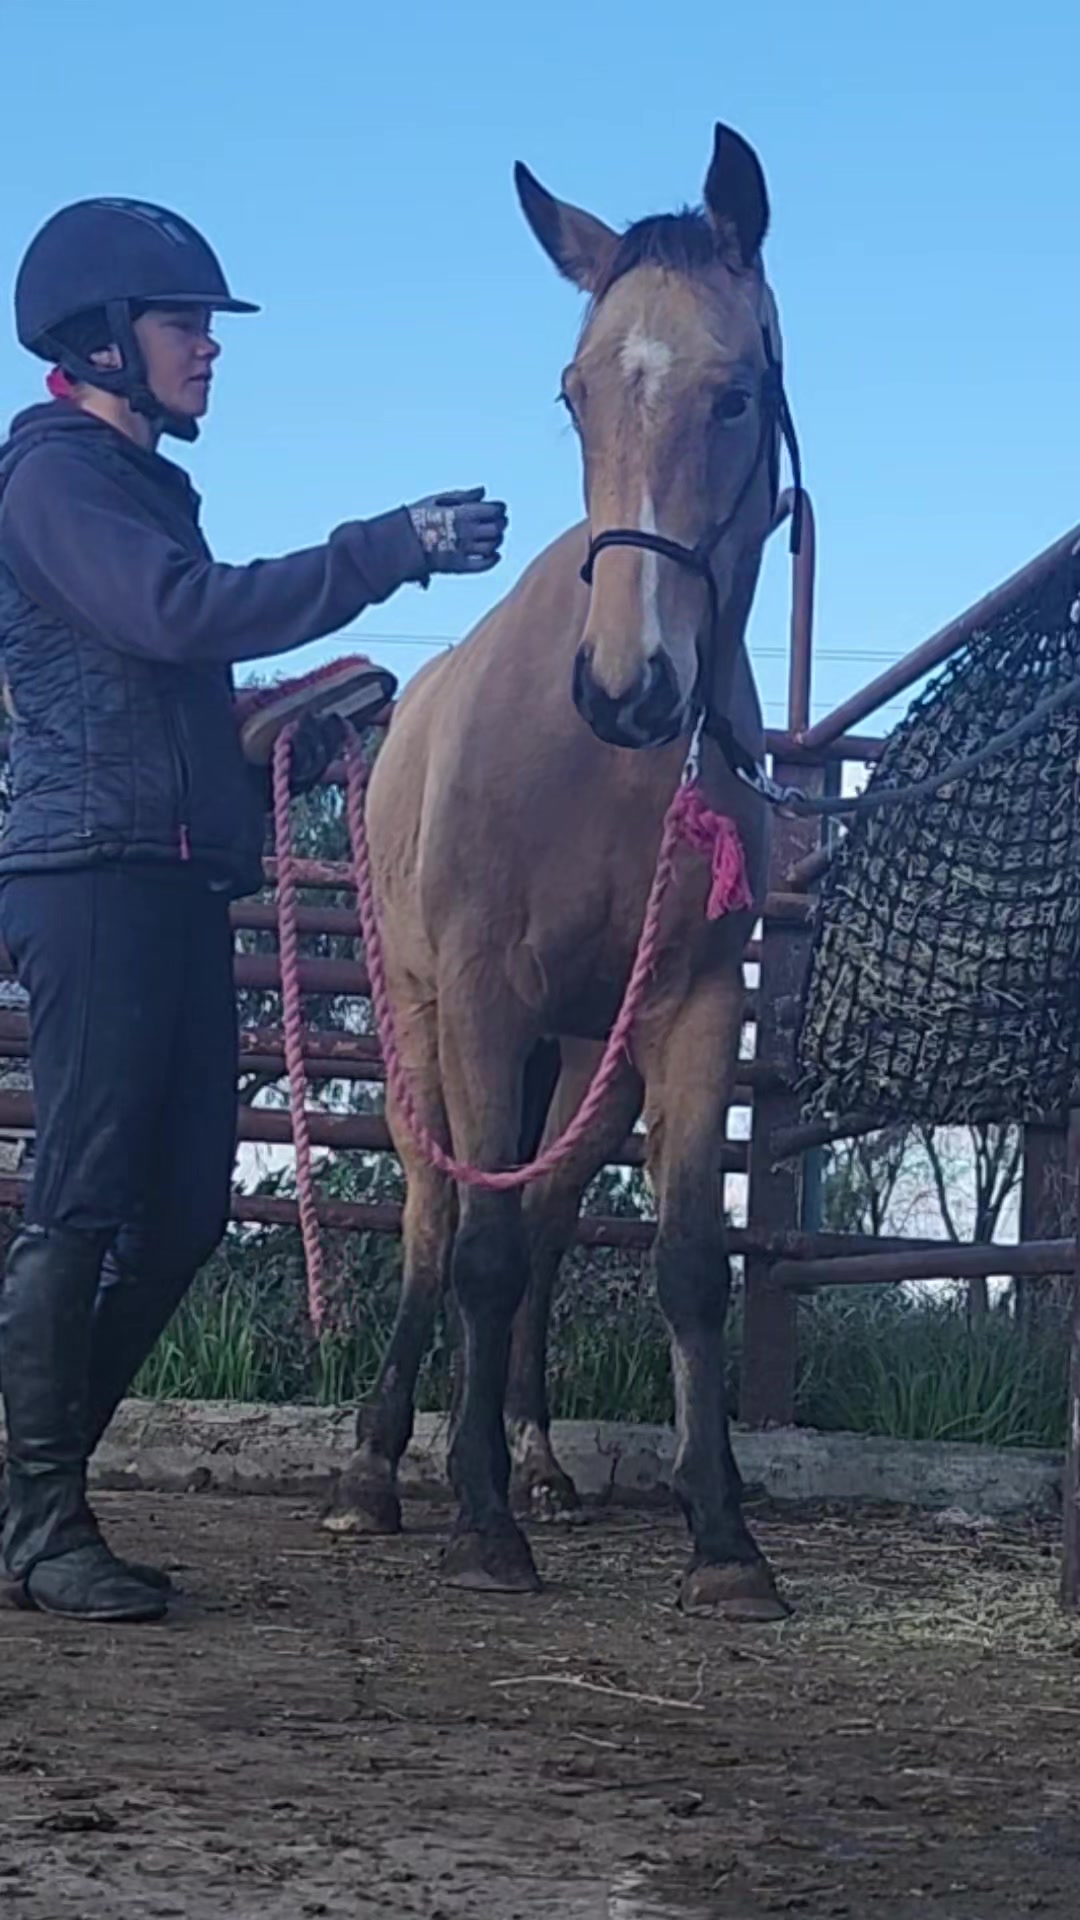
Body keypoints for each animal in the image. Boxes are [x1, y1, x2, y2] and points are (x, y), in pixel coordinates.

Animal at [325, 122, 792, 1621]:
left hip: (589, 1060)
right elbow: (468, 1250)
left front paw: (723, 1540)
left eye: (737, 394)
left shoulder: (691, 1009)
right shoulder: (481, 997)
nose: (630, 686)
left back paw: (532, 1459)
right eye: (575, 395)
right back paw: (381, 1476)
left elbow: (688, 1265)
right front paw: (476, 1524)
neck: (609, 775)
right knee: (439, 1223)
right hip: (423, 1026)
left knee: (538, 1232)